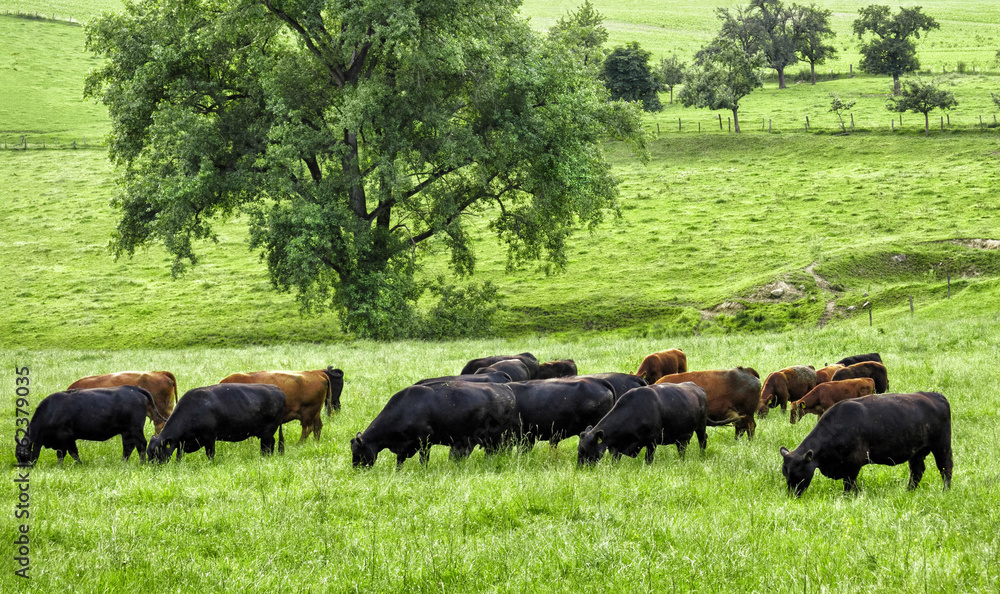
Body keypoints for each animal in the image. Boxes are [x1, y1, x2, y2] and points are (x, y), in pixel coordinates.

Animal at [13, 386, 164, 464]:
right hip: (126, 431)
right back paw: (123, 463)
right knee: (129, 447)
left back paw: (141, 463)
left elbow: (69, 453)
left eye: (23, 454)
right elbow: (66, 453)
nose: (23, 468)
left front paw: (76, 465)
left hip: (135, 429)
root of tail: (133, 388)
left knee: (141, 445)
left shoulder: (65, 438)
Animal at [149, 382, 290, 460]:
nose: (153, 470)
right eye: (148, 453)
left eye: (157, 453)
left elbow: (210, 454)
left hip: (268, 431)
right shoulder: (182, 442)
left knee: (267, 446)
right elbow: (179, 456)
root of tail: (276, 388)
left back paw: (264, 458)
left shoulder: (210, 437)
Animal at [350, 380, 516, 468]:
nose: (356, 470)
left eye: (357, 453)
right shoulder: (404, 447)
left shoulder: (424, 441)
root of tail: (504, 387)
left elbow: (423, 460)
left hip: (498, 438)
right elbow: (399, 462)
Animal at [576, 382, 708, 464]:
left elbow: (648, 459)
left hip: (701, 427)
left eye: (585, 450)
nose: (580, 469)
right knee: (682, 448)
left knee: (702, 442)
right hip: (681, 437)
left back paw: (702, 457)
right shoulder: (616, 447)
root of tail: (697, 387)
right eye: (579, 449)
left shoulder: (652, 442)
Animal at [780, 388, 952, 494]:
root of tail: (935, 395)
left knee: (945, 468)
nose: (792, 495)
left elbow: (849, 485)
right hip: (916, 452)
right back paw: (909, 491)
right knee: (917, 471)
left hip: (942, 445)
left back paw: (945, 491)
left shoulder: (853, 464)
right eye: (784, 472)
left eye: (797, 472)